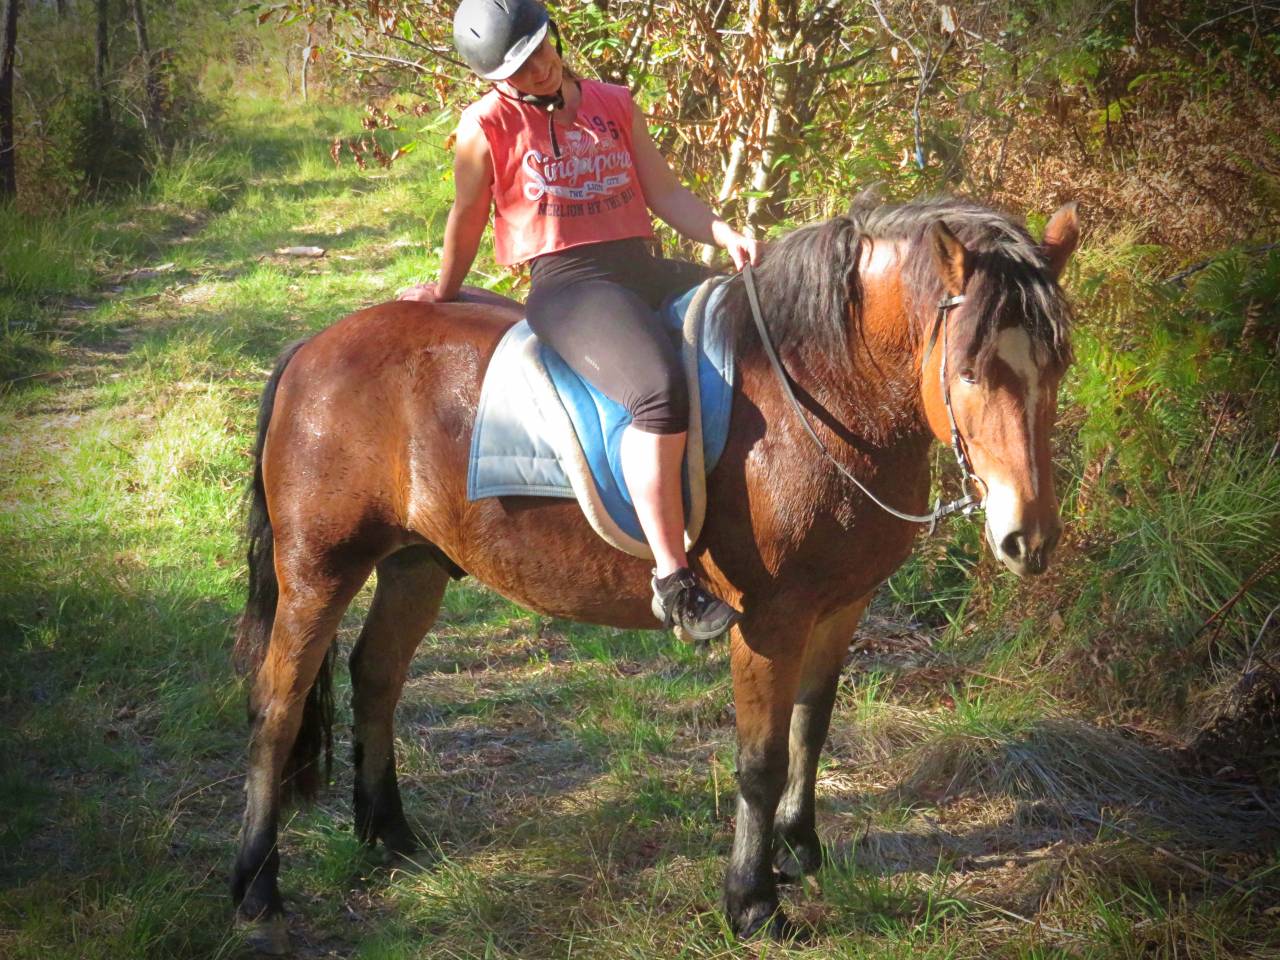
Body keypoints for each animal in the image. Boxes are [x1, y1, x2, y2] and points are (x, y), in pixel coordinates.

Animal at [229, 195, 1079, 952]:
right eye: (969, 370)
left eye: (1058, 366)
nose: (1027, 537)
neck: (817, 393)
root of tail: (312, 350)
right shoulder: (770, 621)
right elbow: (760, 759)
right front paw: (753, 903)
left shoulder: (842, 607)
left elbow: (811, 729)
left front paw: (802, 853)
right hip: (318, 571)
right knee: (277, 707)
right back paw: (256, 886)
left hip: (414, 565)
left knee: (376, 676)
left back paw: (392, 835)